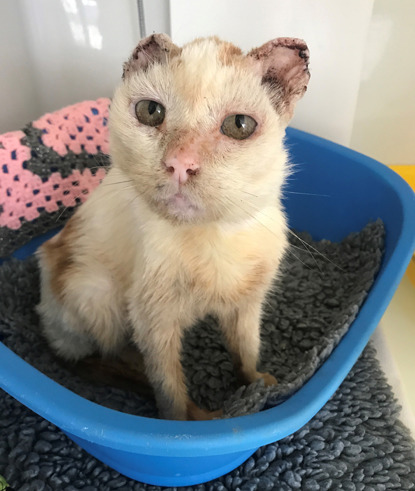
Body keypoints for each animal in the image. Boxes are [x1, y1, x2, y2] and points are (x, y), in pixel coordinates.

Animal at [35, 32, 310, 420]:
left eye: (239, 125)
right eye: (150, 112)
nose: (180, 163)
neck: (213, 236)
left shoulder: (247, 303)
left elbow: (246, 350)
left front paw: (258, 384)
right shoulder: (153, 322)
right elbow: (169, 392)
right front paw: (186, 422)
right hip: (97, 294)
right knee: (106, 357)